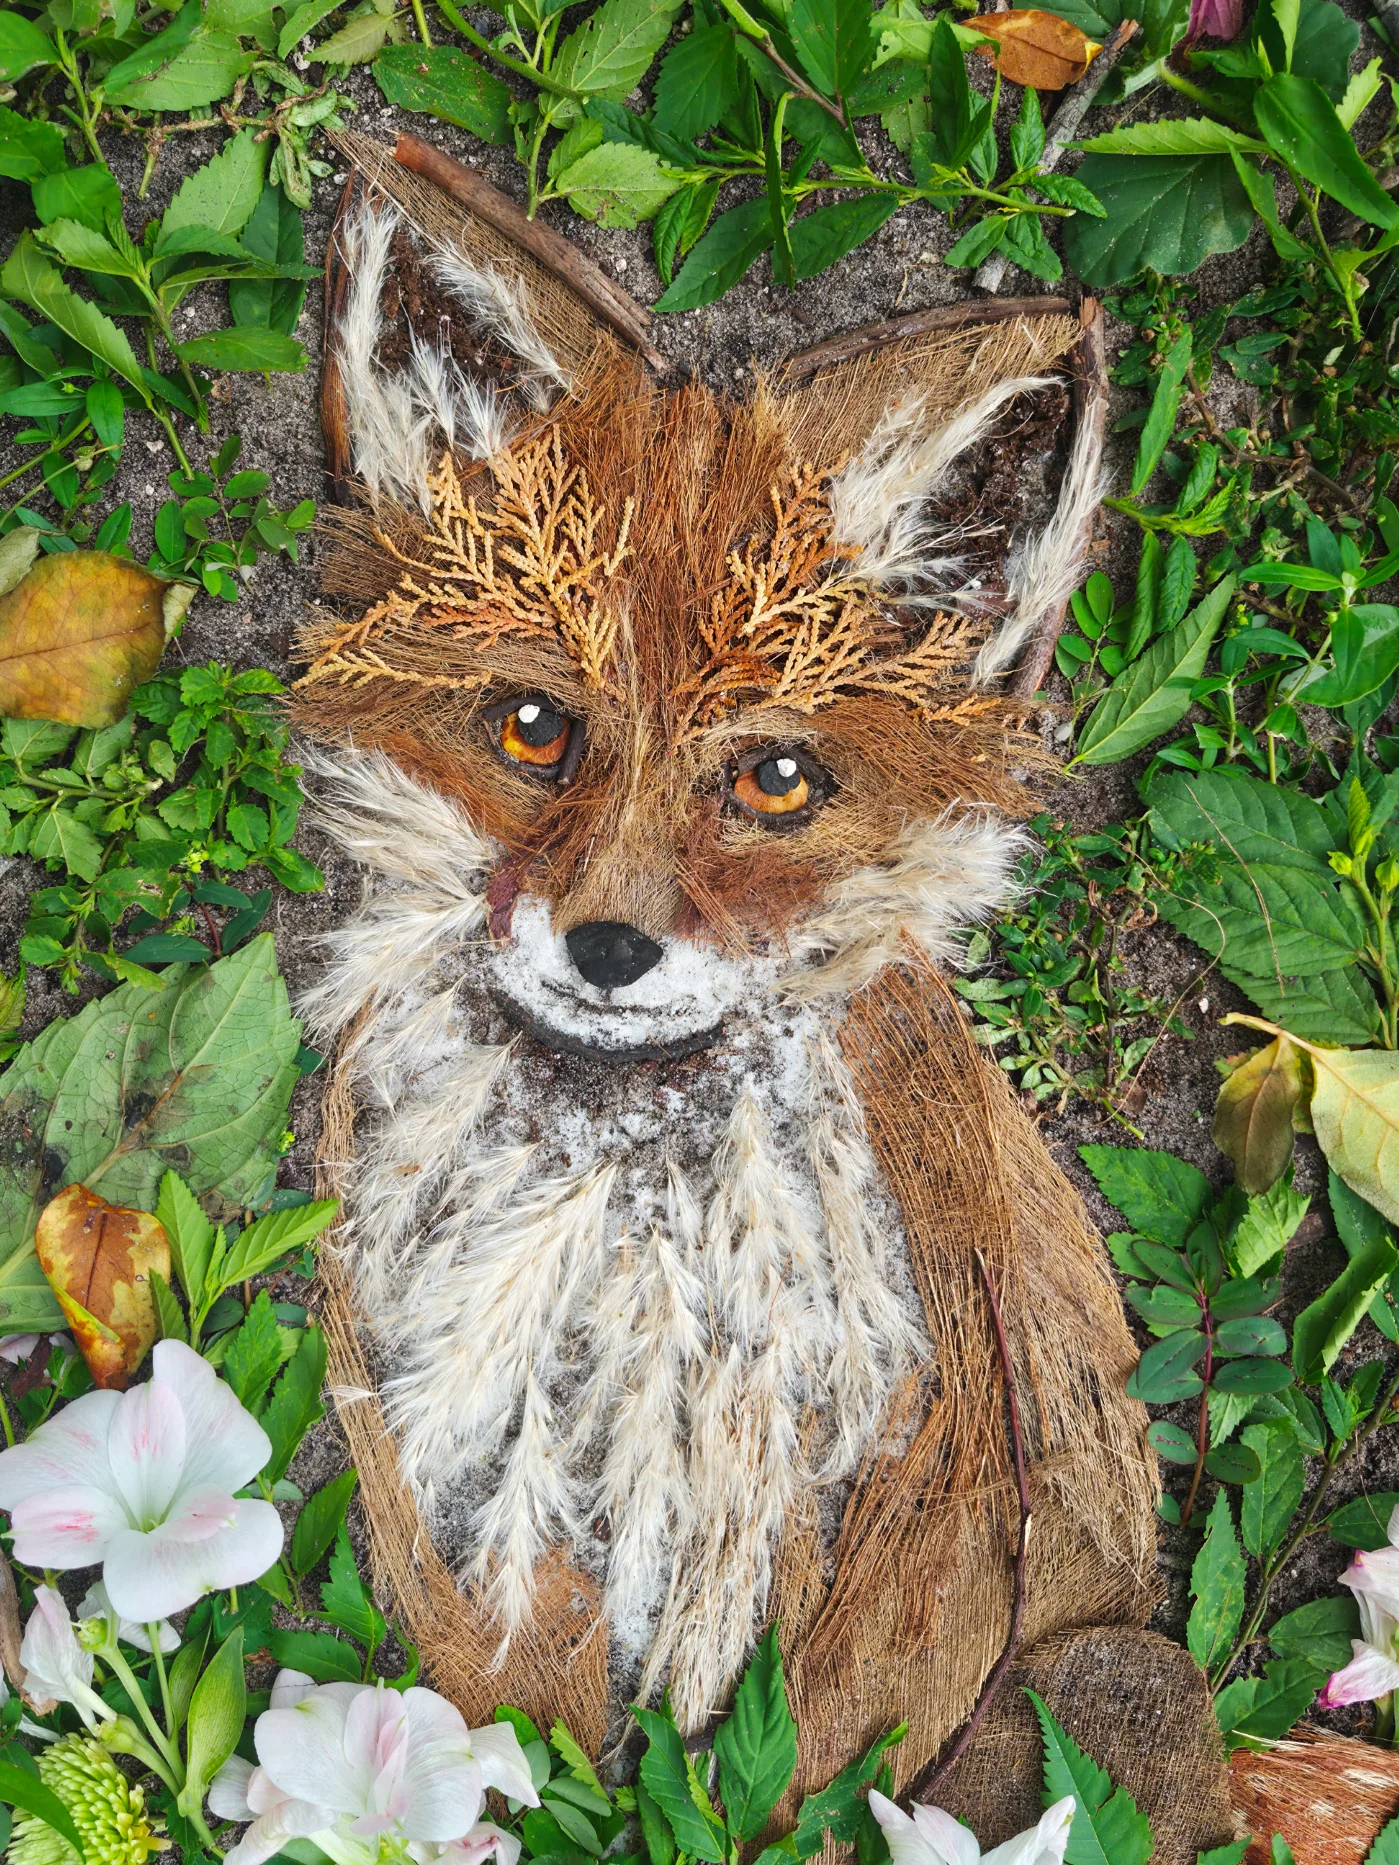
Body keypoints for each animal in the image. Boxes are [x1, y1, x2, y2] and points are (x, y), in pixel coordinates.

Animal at [293, 129, 1157, 1789]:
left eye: (774, 779)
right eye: (533, 728)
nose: (608, 945)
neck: (607, 1226)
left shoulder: (898, 1492)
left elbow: (814, 1748)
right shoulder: (439, 1464)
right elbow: (515, 1701)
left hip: (1097, 1672)